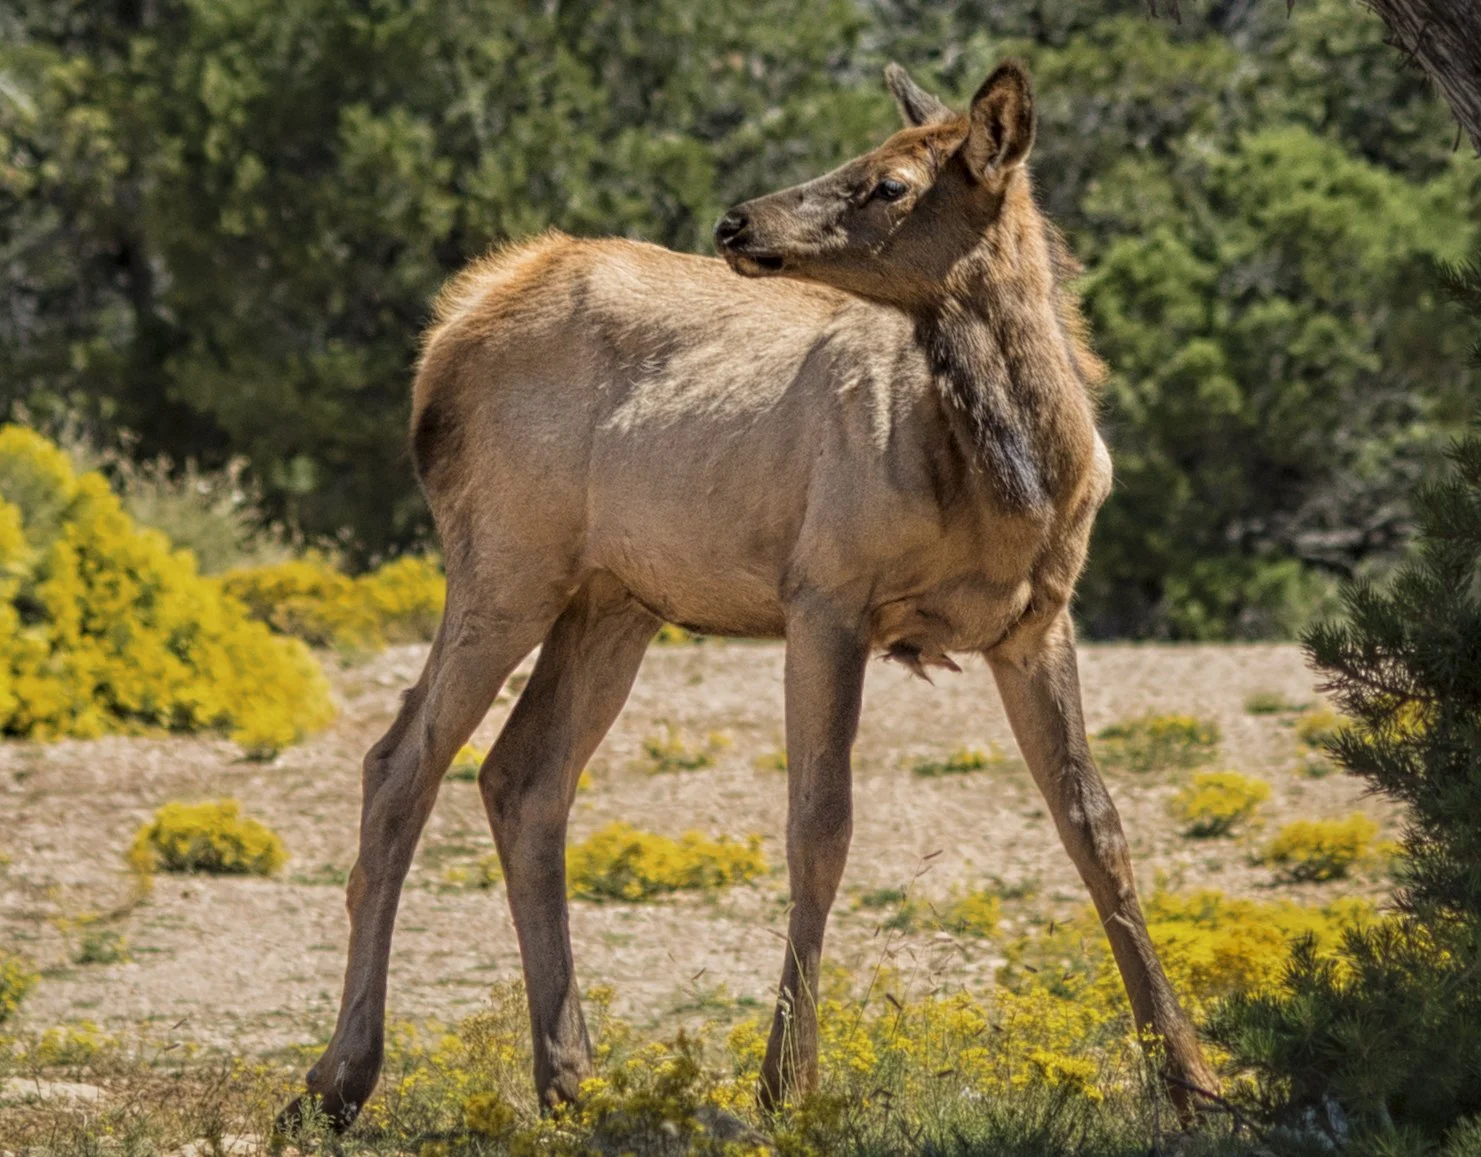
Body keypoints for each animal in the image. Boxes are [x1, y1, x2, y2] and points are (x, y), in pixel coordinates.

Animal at [278, 58, 1217, 1133]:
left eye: (889, 181)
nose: (735, 222)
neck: (1016, 480)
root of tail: (450, 328)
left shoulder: (1037, 619)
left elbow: (1095, 825)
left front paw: (1193, 1079)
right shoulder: (825, 595)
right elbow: (819, 826)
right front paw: (783, 1084)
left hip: (615, 597)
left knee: (522, 774)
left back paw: (572, 1076)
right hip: (505, 562)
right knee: (401, 761)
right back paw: (338, 1078)